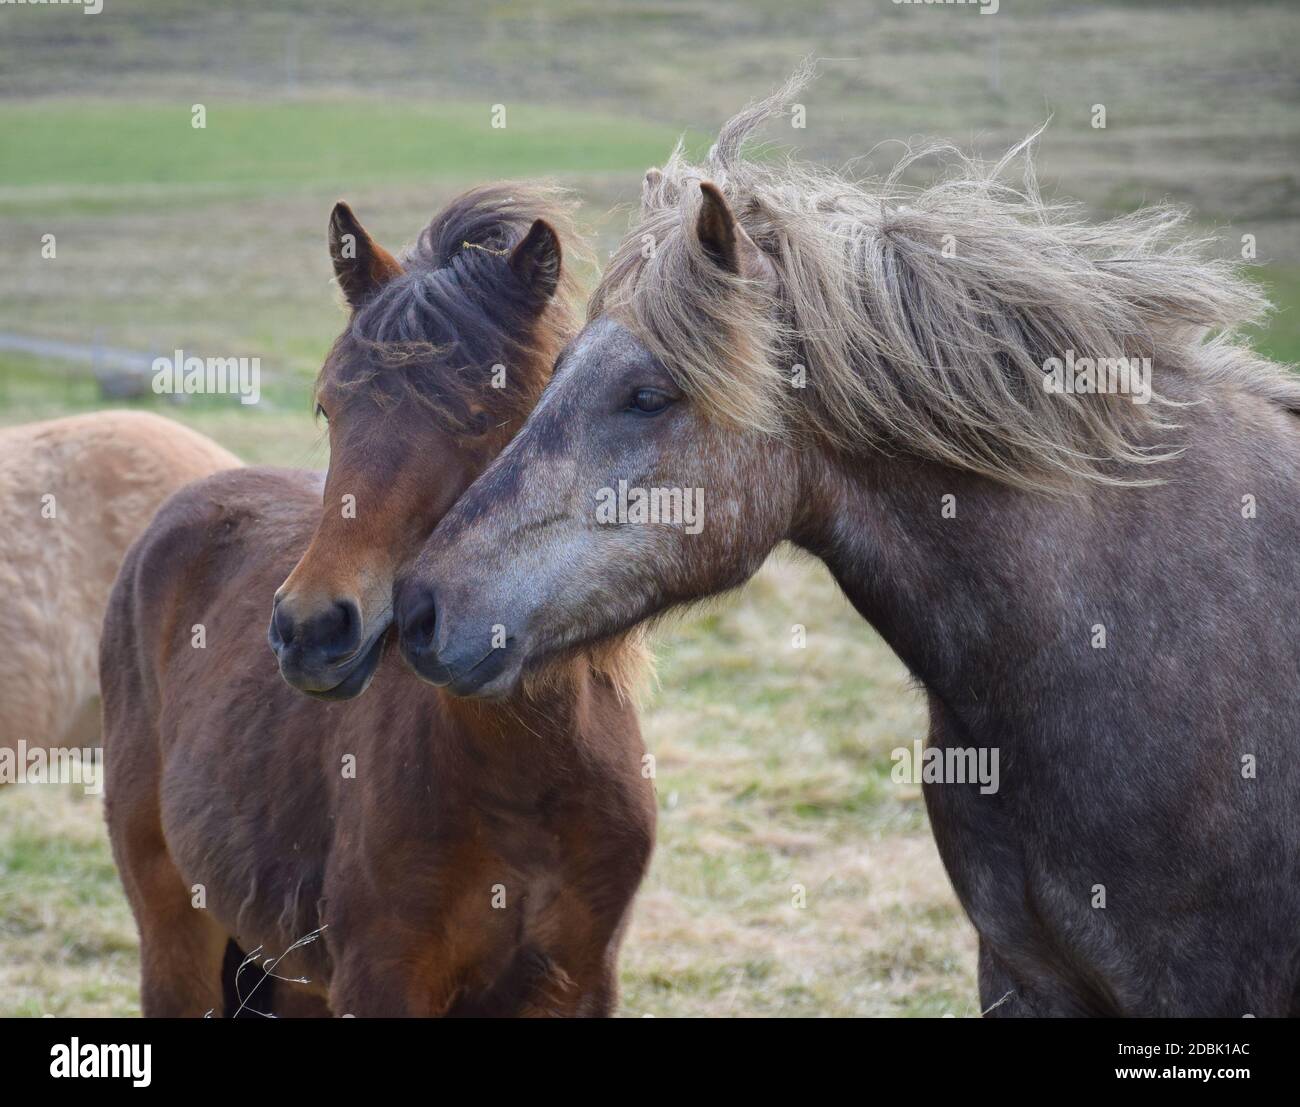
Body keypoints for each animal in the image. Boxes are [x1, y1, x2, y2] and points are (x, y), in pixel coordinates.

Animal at [101, 186, 655, 1017]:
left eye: (487, 415)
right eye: (329, 408)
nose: (312, 628)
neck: (528, 775)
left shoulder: (583, 979)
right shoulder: (383, 978)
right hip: (177, 936)